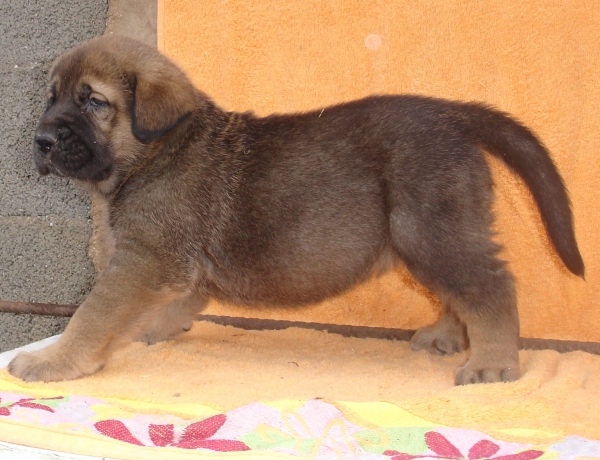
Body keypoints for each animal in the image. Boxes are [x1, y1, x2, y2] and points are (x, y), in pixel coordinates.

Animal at [7, 36, 584, 384]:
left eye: (92, 101)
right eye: (51, 97)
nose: (41, 142)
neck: (154, 151)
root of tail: (456, 115)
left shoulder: (145, 259)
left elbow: (93, 314)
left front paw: (52, 361)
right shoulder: (172, 267)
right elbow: (161, 309)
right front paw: (149, 332)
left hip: (432, 230)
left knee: (490, 288)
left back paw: (492, 363)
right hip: (428, 237)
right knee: (458, 291)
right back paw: (446, 336)